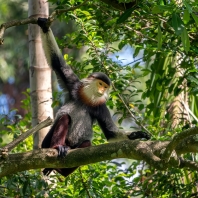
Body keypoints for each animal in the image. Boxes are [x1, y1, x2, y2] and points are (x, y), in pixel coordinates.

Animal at [37, 17, 150, 177]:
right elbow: (57, 62)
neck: (87, 98)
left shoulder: (101, 107)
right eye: (101, 84)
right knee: (64, 118)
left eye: (106, 87)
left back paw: (61, 170)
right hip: (45, 143)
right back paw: (58, 147)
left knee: (86, 143)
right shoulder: (74, 86)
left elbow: (110, 133)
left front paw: (136, 135)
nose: (102, 90)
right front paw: (44, 25)